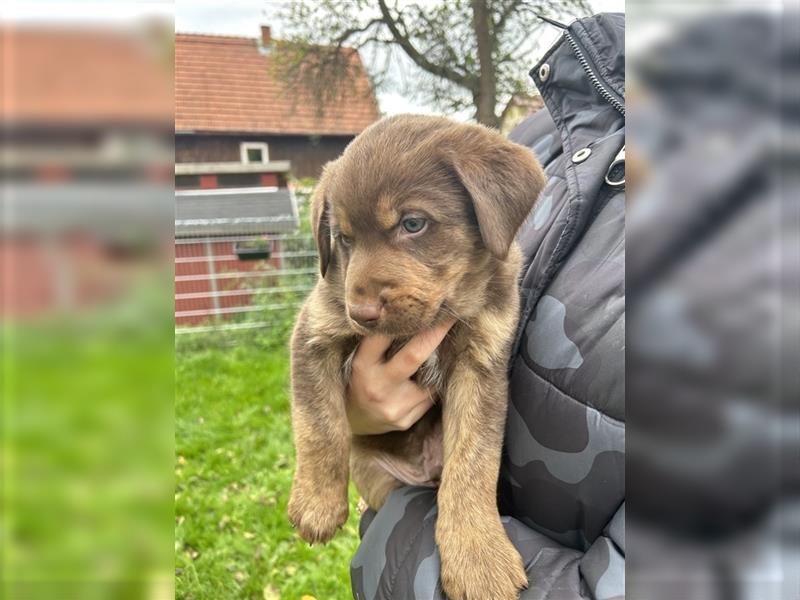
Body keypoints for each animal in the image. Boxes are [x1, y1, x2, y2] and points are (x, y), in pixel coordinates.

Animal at [286, 113, 544, 600]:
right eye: (343, 238)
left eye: (412, 223)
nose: (361, 314)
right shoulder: (316, 330)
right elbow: (318, 426)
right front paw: (316, 504)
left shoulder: (482, 365)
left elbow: (472, 464)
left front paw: (478, 558)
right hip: (375, 473)